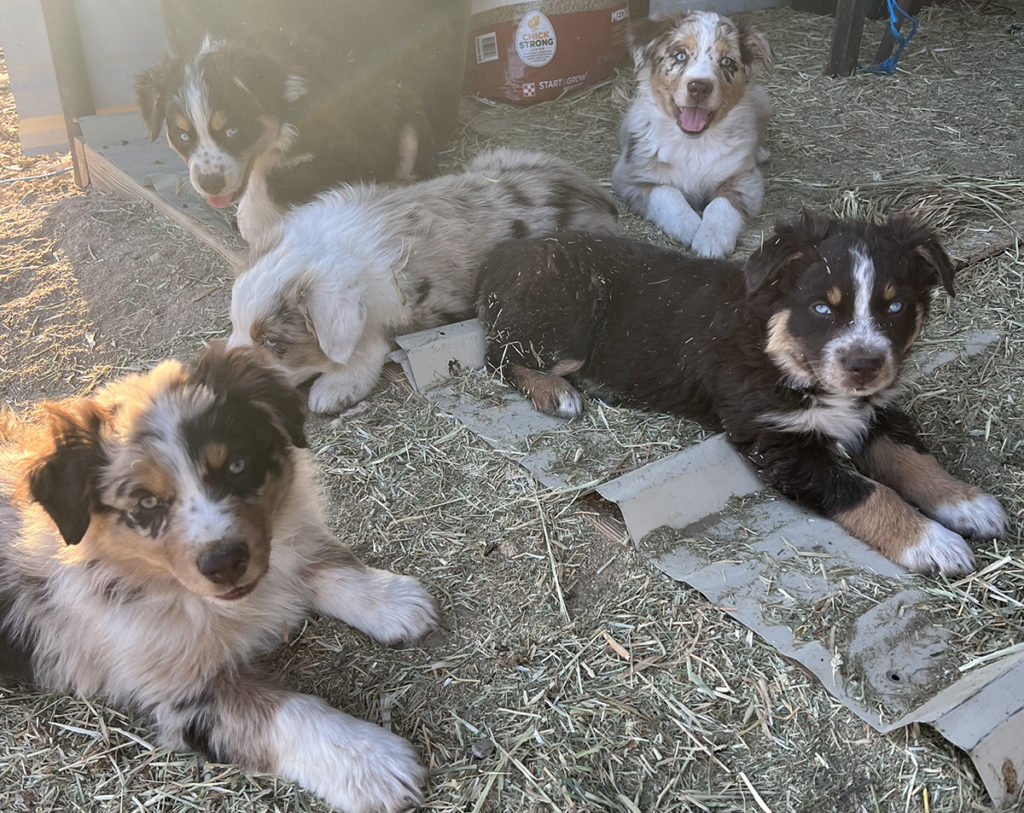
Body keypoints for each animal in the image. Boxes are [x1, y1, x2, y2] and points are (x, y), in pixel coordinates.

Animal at [229, 146, 618, 411]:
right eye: (234, 324)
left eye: (274, 343)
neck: (331, 248)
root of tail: (594, 191)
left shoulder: (409, 307)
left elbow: (367, 344)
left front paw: (333, 389)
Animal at [610, 13, 770, 260]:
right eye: (680, 56)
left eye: (727, 62)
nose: (700, 87)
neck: (693, 144)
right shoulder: (629, 176)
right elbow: (667, 192)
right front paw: (691, 227)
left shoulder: (745, 178)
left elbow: (721, 204)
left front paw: (711, 238)